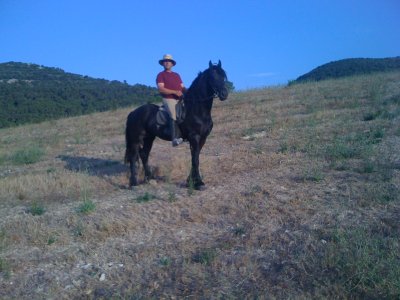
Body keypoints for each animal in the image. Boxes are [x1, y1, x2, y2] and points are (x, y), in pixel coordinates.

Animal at [125, 59, 228, 189]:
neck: (196, 109)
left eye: (223, 76)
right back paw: (134, 183)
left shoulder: (203, 138)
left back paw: (149, 178)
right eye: (212, 77)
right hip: (136, 139)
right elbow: (195, 159)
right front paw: (198, 183)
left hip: (149, 138)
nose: (224, 94)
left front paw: (191, 181)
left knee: (144, 154)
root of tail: (133, 113)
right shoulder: (194, 137)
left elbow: (195, 157)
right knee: (134, 157)